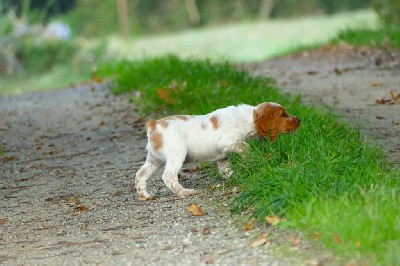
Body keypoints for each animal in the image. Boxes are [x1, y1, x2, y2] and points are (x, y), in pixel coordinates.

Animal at [134, 101, 300, 200]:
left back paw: (145, 195)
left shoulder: (222, 157)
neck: (249, 117)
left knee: (140, 175)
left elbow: (226, 171)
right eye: (283, 114)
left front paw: (235, 177)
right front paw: (252, 160)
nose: (299, 119)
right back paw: (184, 192)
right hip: (177, 154)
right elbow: (246, 148)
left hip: (154, 159)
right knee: (168, 176)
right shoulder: (229, 142)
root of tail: (153, 124)